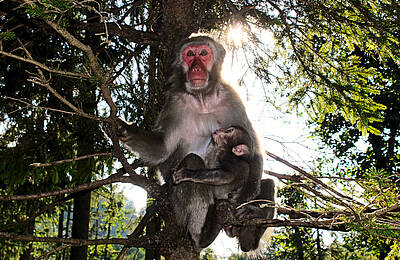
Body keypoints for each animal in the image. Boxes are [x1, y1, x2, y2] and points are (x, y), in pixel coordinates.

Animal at [105, 36, 268, 248]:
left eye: (203, 53)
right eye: (190, 54)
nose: (196, 68)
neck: (202, 98)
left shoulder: (233, 98)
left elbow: (254, 149)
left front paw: (247, 196)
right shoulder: (174, 103)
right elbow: (162, 149)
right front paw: (122, 129)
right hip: (177, 201)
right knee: (192, 161)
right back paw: (202, 235)